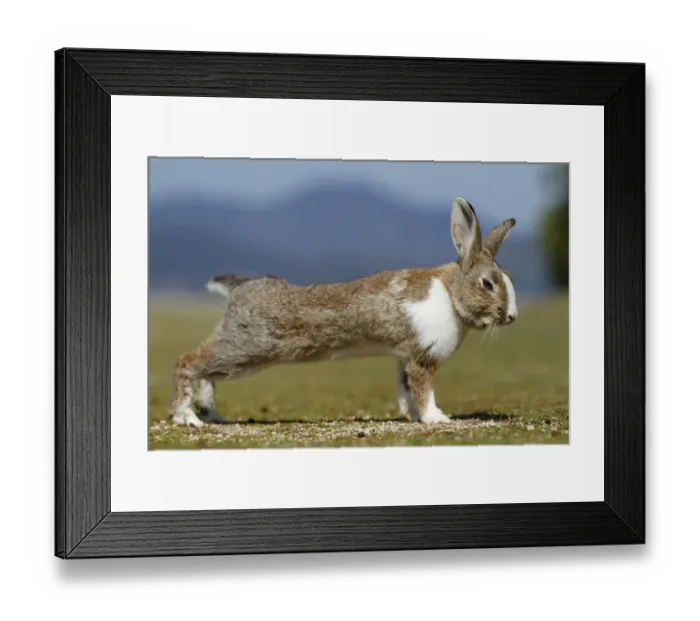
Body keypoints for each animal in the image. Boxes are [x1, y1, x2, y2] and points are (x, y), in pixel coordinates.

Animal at [169, 198, 518, 428]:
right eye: (488, 283)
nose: (512, 317)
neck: (450, 294)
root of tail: (239, 287)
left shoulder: (405, 357)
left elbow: (406, 390)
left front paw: (412, 417)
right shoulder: (422, 358)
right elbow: (423, 390)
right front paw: (438, 419)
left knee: (205, 373)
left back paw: (212, 415)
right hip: (248, 348)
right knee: (188, 362)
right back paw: (188, 418)